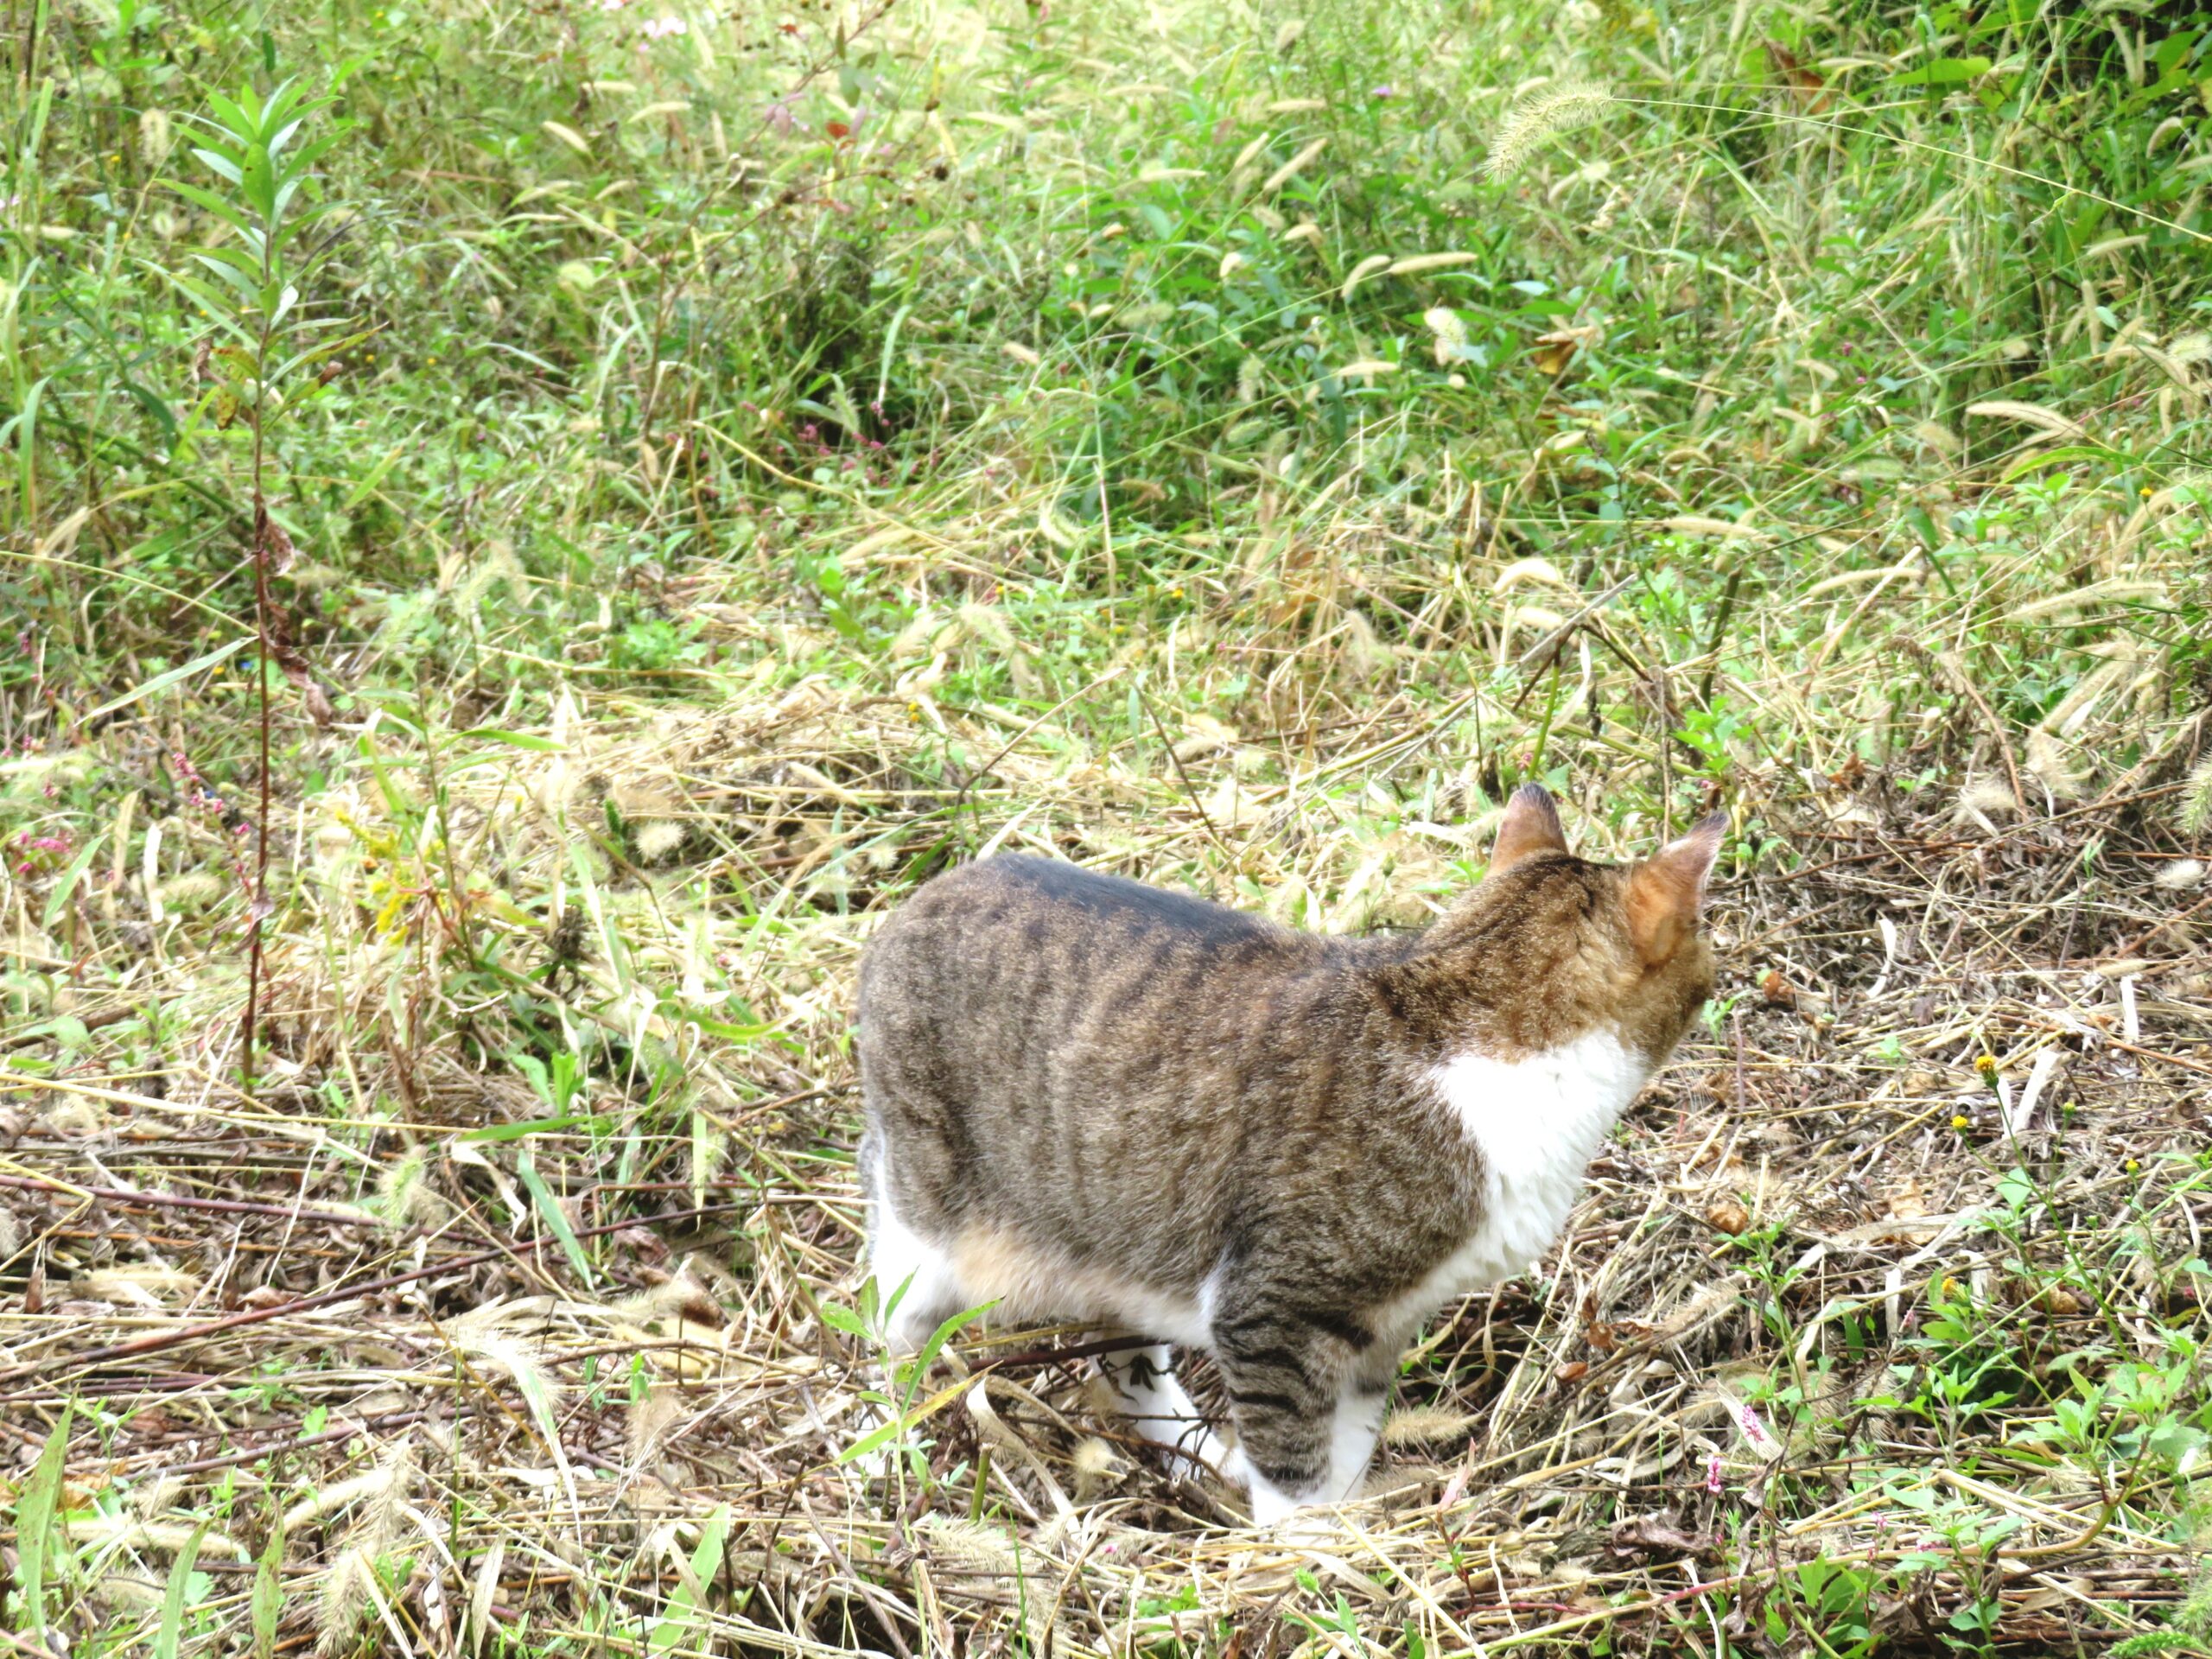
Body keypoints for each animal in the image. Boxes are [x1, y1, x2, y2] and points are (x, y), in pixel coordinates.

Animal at [844, 787, 1725, 1530]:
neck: (1465, 1020)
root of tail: (923, 897)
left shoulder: (1379, 1325)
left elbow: (1349, 1439)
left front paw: (1345, 1526)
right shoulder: (1270, 1307)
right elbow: (1292, 1454)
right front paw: (1302, 1556)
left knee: (1128, 1367)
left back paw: (1198, 1453)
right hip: (925, 1215)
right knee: (885, 1322)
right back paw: (887, 1443)